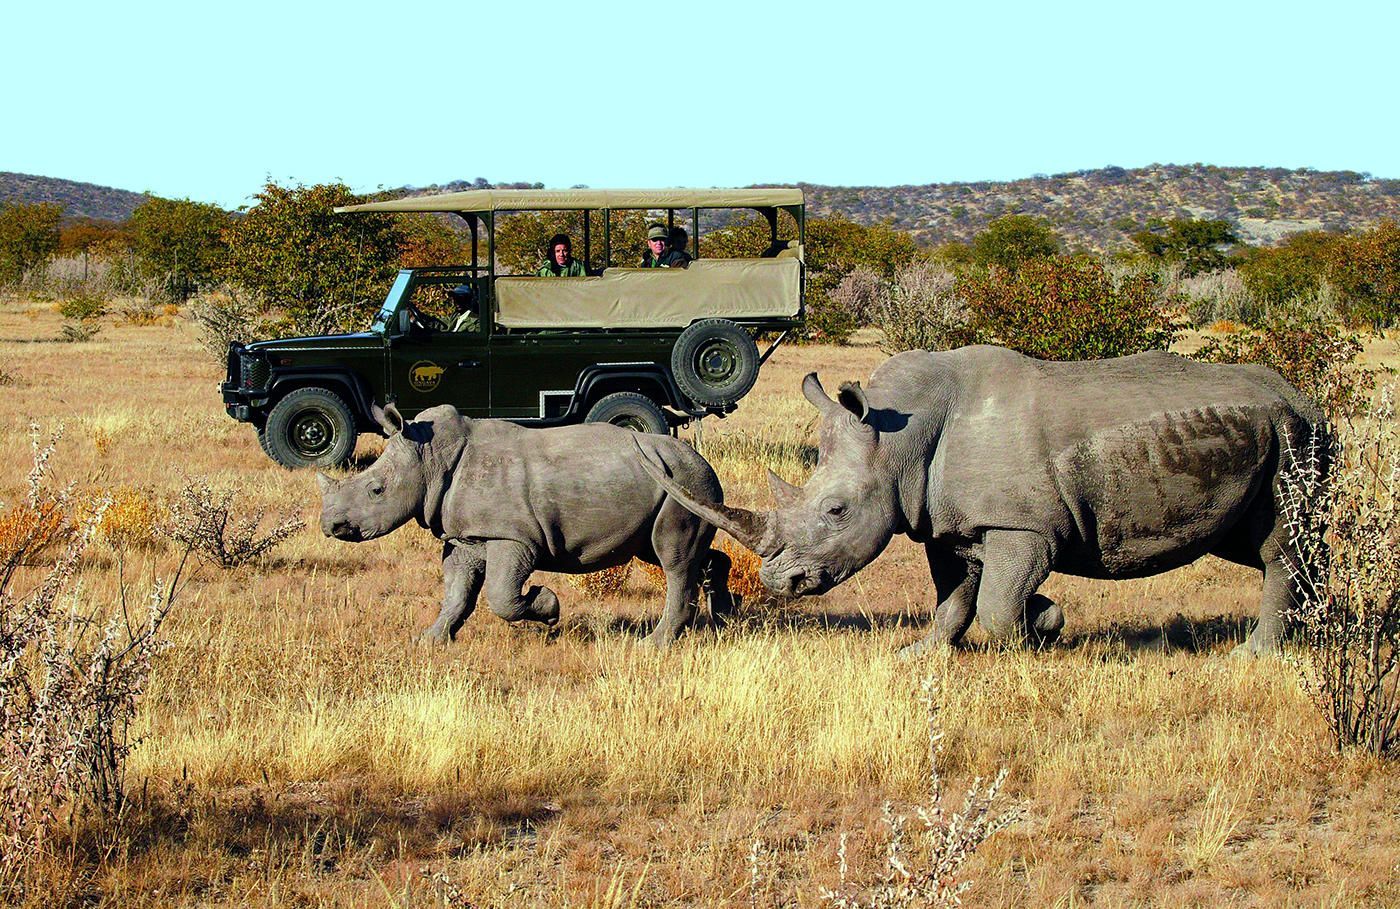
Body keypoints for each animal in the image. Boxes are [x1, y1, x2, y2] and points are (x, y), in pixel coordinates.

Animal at [318, 403, 732, 646]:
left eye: (376, 490)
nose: (330, 526)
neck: (430, 456)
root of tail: (705, 463)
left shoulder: (511, 536)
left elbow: (501, 595)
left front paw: (548, 607)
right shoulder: (466, 537)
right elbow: (456, 591)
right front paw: (429, 641)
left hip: (683, 482)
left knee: (672, 559)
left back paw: (653, 644)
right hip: (676, 483)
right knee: (672, 553)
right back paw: (725, 617)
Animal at [642, 346, 1325, 656]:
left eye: (836, 511)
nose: (779, 583)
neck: (900, 436)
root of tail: (1302, 394)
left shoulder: (1023, 526)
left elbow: (996, 607)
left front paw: (1036, 630)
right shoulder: (945, 521)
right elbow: (955, 596)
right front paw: (923, 651)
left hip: (1295, 433)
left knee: (1277, 545)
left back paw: (1258, 653)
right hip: (1270, 433)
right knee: (1254, 544)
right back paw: (1315, 633)